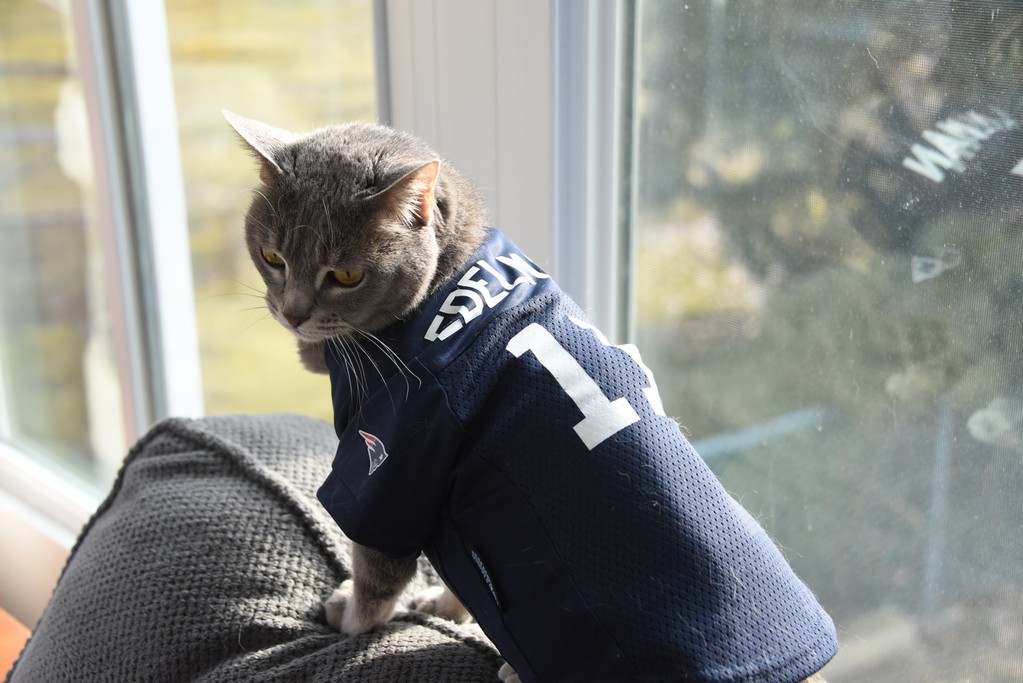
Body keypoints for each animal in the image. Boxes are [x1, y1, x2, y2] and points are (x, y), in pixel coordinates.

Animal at [226, 109, 838, 678]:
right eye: (274, 258)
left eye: (347, 275)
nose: (292, 312)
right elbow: (462, 580)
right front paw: (444, 606)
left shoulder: (392, 472)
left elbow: (379, 572)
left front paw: (349, 617)